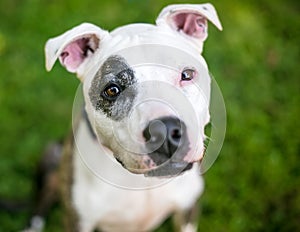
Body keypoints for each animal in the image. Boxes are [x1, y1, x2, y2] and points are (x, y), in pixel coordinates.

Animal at [29, 3, 221, 232]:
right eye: (112, 90)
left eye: (187, 75)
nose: (165, 131)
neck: (142, 182)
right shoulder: (78, 221)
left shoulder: (187, 209)